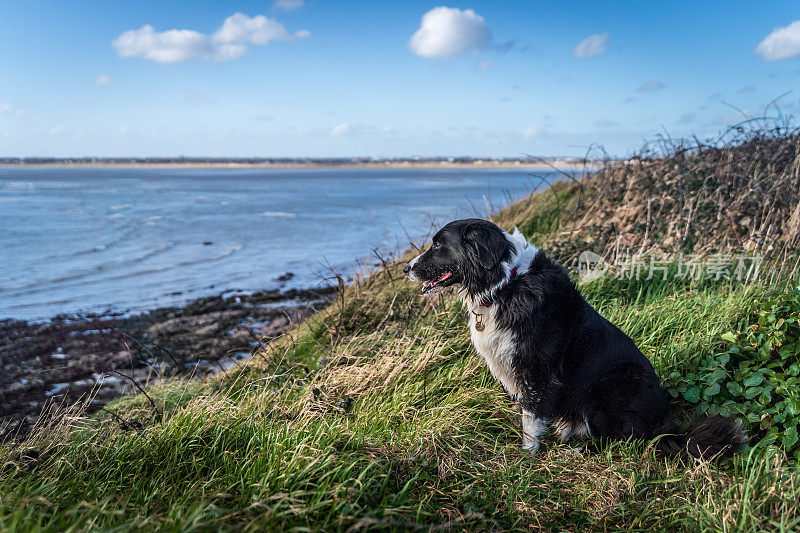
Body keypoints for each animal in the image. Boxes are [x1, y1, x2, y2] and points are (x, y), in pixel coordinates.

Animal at [404, 218, 748, 456]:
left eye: (438, 245)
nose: (406, 268)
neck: (504, 284)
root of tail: (661, 423)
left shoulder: (536, 369)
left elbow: (532, 415)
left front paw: (527, 455)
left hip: (603, 391)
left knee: (624, 440)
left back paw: (578, 448)